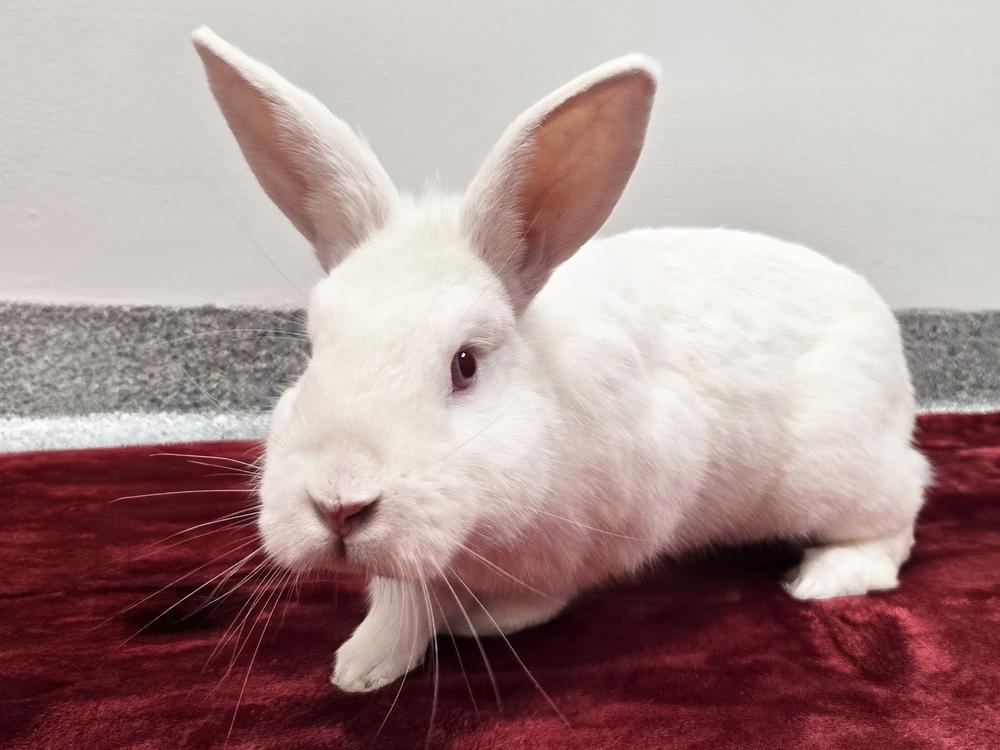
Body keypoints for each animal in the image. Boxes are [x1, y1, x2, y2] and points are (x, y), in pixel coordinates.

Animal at [192, 27, 930, 693]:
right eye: (313, 348)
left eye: (465, 364)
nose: (339, 504)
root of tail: (884, 331)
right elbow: (402, 601)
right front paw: (363, 666)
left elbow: (528, 599)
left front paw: (470, 625)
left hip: (836, 469)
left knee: (902, 510)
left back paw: (824, 578)